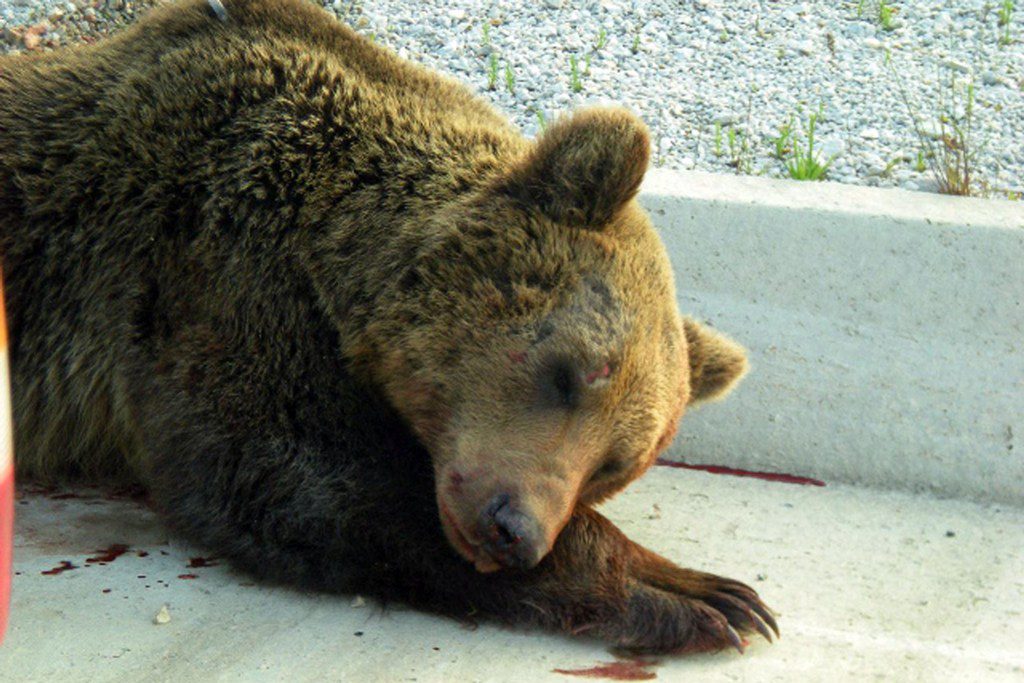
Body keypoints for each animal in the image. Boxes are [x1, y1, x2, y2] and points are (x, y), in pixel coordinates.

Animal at [0, 0, 770, 655]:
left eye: (617, 463)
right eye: (571, 373)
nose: (514, 530)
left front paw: (712, 589)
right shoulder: (216, 267)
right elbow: (294, 474)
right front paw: (704, 598)